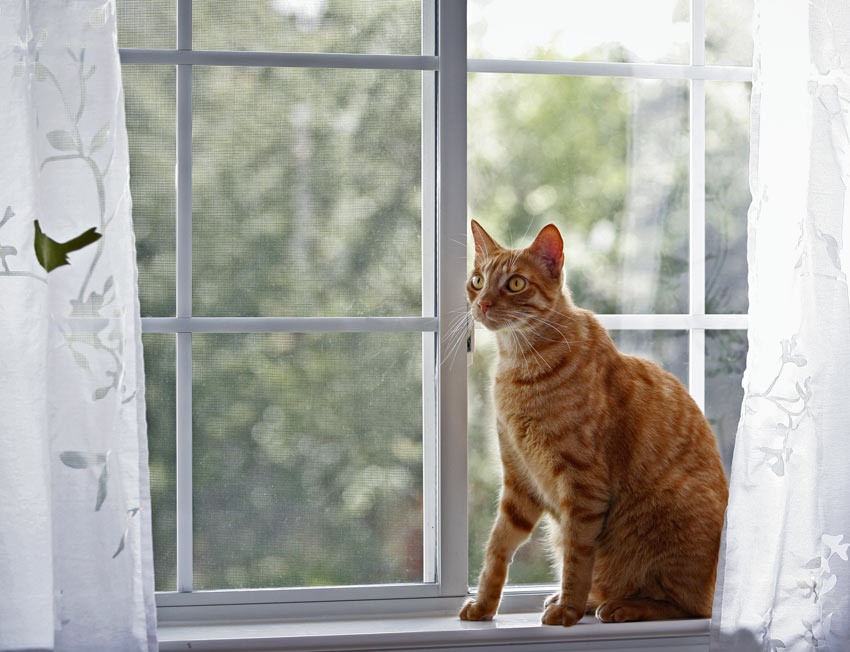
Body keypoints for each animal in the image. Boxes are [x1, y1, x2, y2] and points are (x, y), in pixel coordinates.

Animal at [460, 220, 724, 628]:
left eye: (515, 283)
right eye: (477, 280)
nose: (483, 303)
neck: (518, 367)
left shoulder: (583, 487)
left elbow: (577, 558)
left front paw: (567, 610)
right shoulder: (519, 482)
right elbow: (497, 549)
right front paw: (485, 606)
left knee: (689, 606)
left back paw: (620, 606)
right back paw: (590, 601)